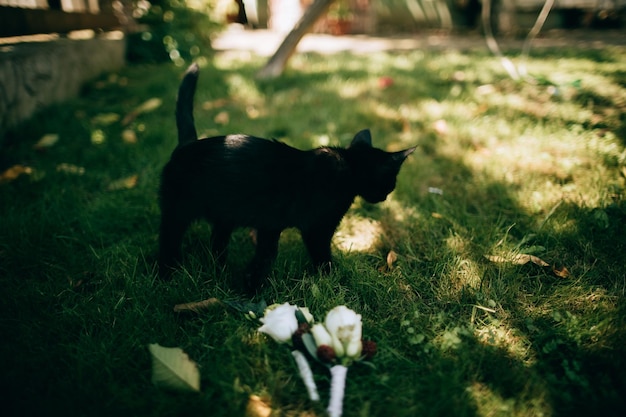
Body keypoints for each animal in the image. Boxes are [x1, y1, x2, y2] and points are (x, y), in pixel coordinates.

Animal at [157, 64, 414, 292]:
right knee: (168, 239)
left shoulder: (269, 225)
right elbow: (318, 255)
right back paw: (166, 275)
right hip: (178, 211)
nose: (386, 196)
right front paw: (332, 277)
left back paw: (219, 270)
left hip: (225, 215)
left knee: (217, 243)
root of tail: (187, 144)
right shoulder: (317, 227)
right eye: (391, 182)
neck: (348, 168)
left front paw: (250, 284)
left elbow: (265, 254)